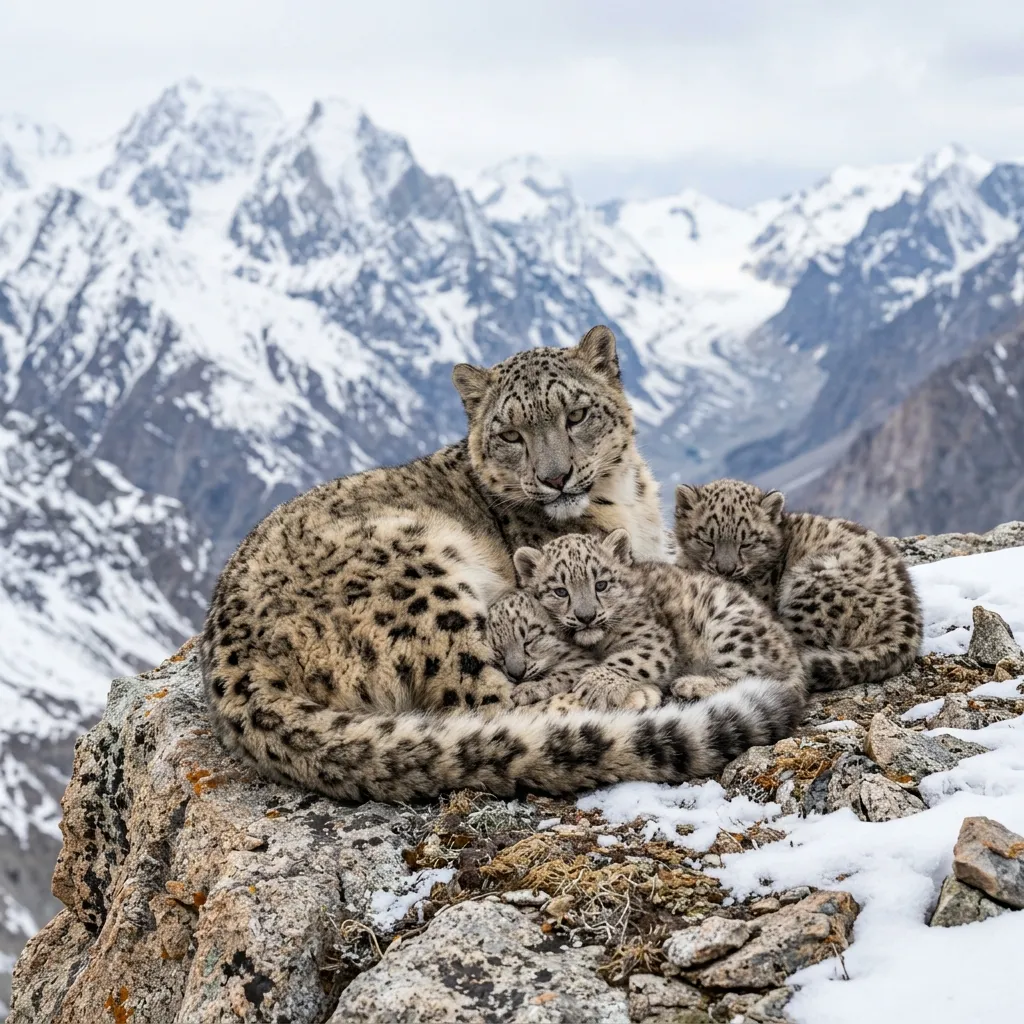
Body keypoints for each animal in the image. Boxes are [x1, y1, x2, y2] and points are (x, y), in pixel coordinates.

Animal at [513, 529, 808, 736]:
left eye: (601, 584)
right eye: (560, 591)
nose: (586, 617)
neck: (595, 646)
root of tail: (792, 653)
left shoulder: (652, 641)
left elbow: (628, 659)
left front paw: (594, 685)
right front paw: (529, 689)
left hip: (728, 628)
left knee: (755, 677)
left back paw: (690, 684)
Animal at [674, 478, 922, 692]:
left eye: (747, 543)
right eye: (707, 540)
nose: (726, 570)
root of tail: (906, 628)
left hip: (809, 586)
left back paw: (690, 684)